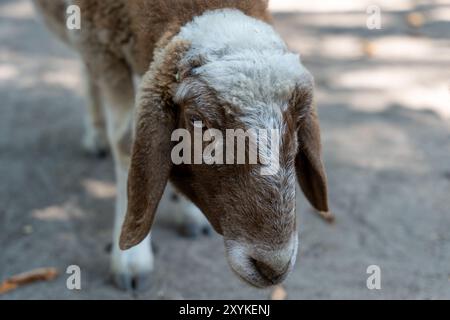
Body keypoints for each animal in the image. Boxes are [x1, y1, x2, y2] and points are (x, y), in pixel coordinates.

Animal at [33, 0, 330, 290]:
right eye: (198, 121)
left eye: (299, 120)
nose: (272, 267)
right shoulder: (102, 44)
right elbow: (126, 143)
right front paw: (131, 260)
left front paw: (188, 213)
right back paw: (95, 133)